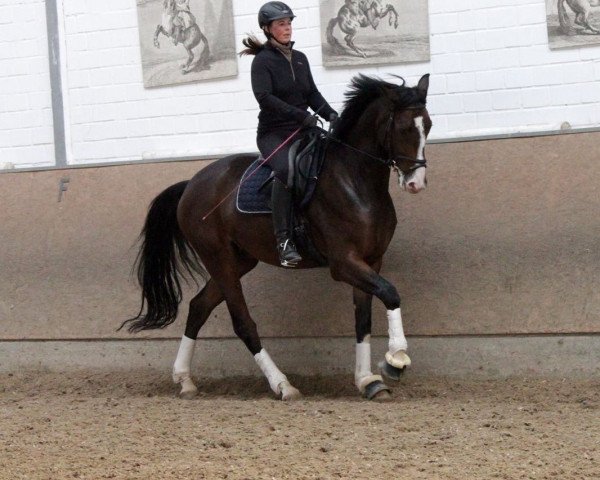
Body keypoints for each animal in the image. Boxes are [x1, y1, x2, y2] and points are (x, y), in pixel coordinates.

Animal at [122, 74, 432, 402]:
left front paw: (368, 381)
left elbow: (363, 319)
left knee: (198, 307)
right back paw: (283, 385)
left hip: (237, 262)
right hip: (219, 259)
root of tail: (191, 184)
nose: (416, 183)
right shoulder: (344, 263)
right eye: (404, 128)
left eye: (428, 124)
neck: (355, 180)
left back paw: (185, 380)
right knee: (242, 323)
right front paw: (395, 361)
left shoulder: (372, 260)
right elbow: (390, 293)